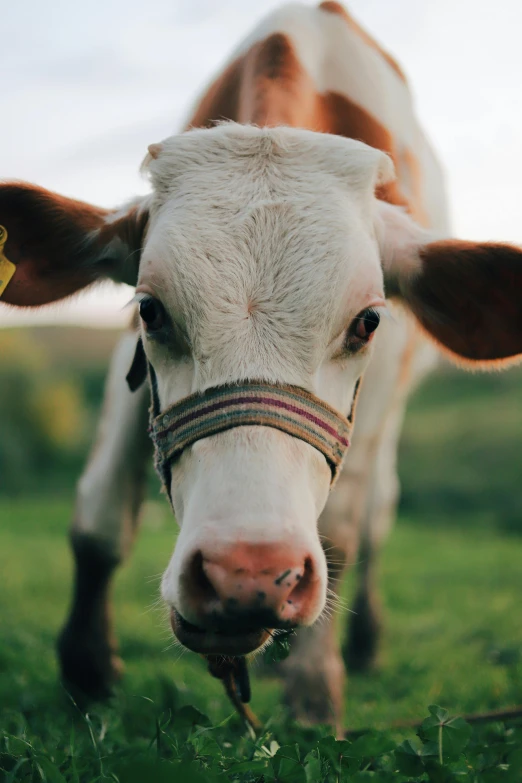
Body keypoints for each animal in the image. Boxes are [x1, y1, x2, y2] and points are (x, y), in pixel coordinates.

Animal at [1, 3, 520, 732]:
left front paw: (315, 690)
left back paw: (361, 643)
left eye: (368, 321)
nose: (244, 574)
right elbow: (99, 512)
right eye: (151, 309)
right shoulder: (127, 360)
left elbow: (343, 530)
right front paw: (87, 668)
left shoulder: (381, 383)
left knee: (379, 511)